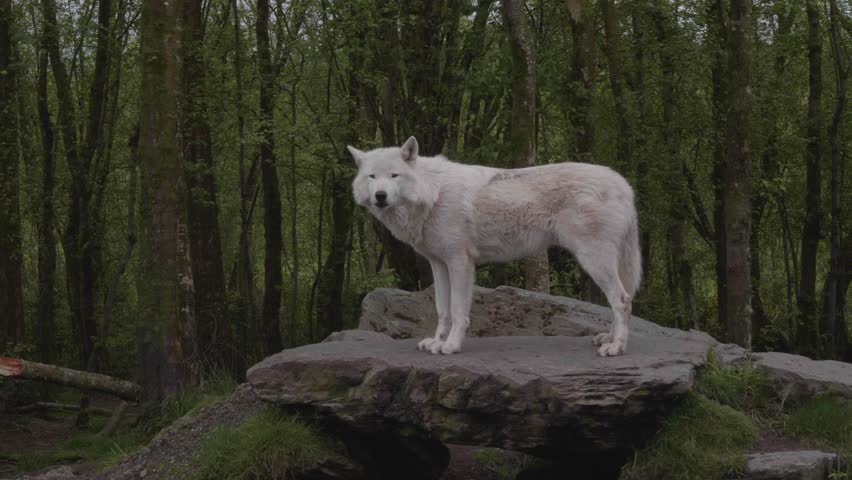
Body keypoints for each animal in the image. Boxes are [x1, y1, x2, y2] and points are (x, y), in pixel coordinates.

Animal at [348, 137, 640, 354]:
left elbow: (458, 310)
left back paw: (616, 347)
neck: (433, 194)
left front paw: (450, 346)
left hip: (594, 261)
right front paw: (436, 342)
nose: (381, 196)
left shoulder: (460, 262)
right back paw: (608, 338)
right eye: (372, 176)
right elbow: (442, 310)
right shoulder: (438, 264)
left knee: (622, 300)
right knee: (619, 301)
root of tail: (623, 184)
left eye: (394, 176)